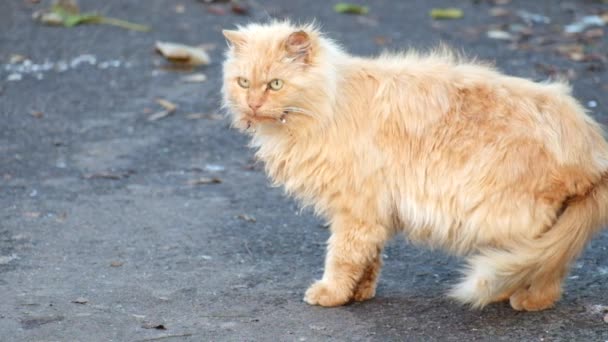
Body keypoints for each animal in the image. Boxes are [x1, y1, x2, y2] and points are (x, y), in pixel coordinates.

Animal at [221, 20, 608, 312]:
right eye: (243, 83)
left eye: (275, 85)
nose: (253, 105)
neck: (332, 102)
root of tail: (590, 140)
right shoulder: (372, 212)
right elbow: (369, 257)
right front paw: (360, 294)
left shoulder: (354, 209)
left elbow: (342, 256)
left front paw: (331, 294)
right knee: (545, 263)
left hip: (513, 220)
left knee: (545, 270)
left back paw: (525, 300)